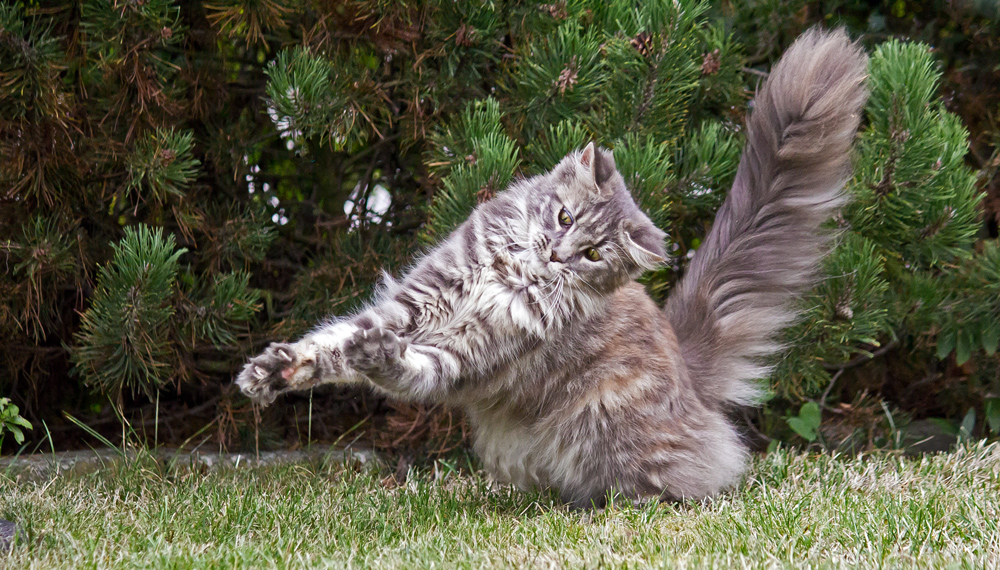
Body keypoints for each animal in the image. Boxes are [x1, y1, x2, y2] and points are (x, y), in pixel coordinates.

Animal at [238, 28, 872, 504]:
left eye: (593, 253)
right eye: (565, 216)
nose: (556, 253)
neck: (513, 275)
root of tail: (690, 372)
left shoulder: (472, 355)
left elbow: (408, 367)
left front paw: (376, 357)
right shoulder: (416, 303)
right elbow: (333, 345)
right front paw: (276, 371)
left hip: (607, 424)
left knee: (690, 476)